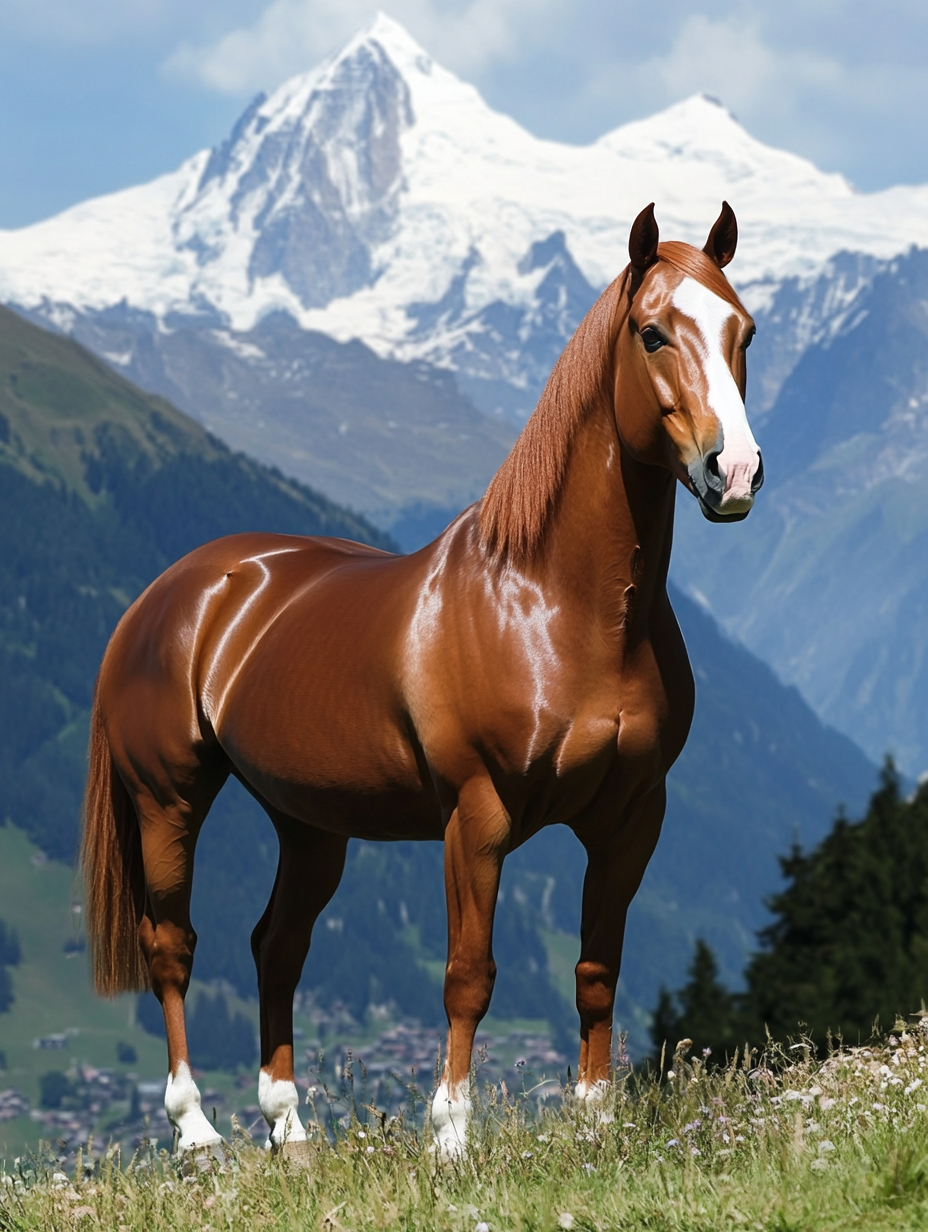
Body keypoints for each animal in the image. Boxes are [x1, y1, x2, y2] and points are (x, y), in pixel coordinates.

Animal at [81, 201, 762, 1161]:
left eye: (746, 332)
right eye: (653, 332)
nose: (732, 473)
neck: (554, 606)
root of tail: (169, 595)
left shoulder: (631, 816)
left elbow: (597, 967)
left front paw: (593, 1127)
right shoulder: (476, 816)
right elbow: (468, 975)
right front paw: (450, 1139)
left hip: (309, 823)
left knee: (276, 946)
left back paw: (289, 1129)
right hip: (167, 799)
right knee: (171, 942)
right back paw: (198, 1131)